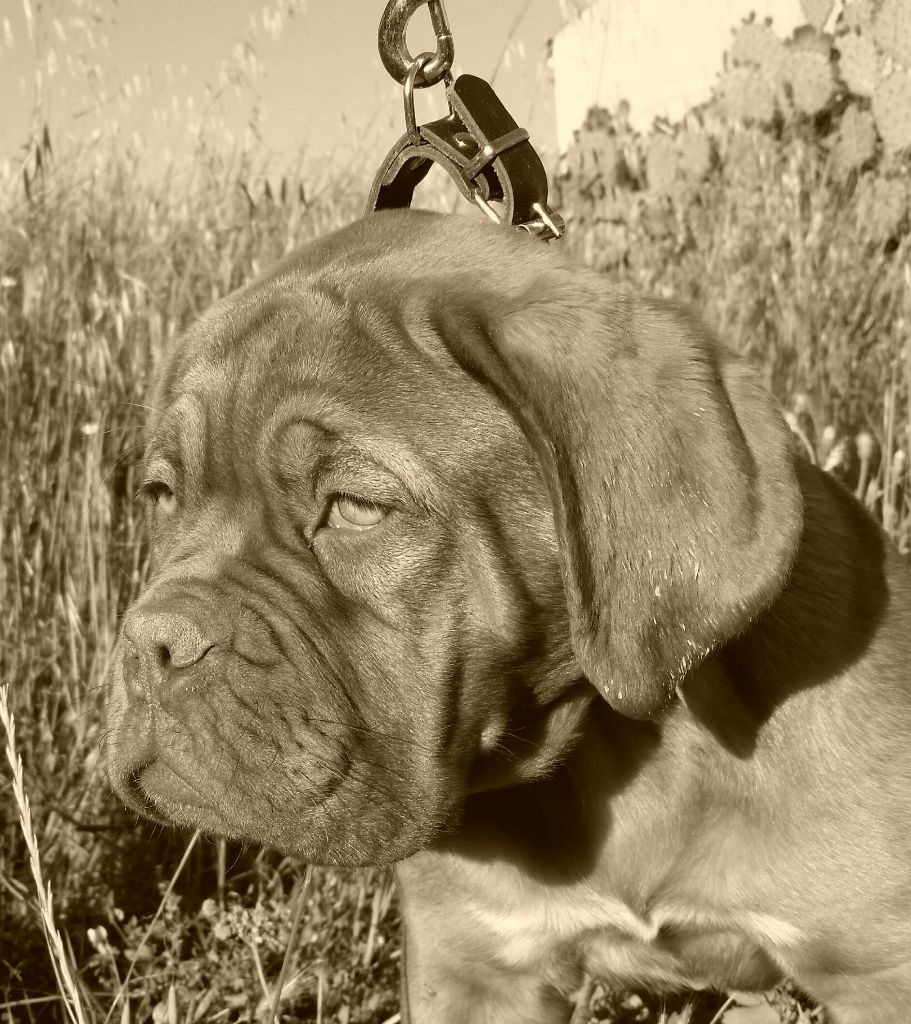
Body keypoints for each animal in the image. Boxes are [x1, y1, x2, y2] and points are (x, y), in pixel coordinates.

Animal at [106, 209, 911, 1024]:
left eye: (356, 506)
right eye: (161, 495)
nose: (151, 646)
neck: (614, 750)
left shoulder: (880, 969)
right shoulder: (471, 971)